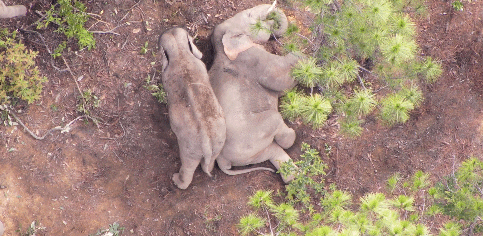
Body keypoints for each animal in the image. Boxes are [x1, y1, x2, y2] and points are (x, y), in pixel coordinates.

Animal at [159, 27, 227, 190]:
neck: (181, 53)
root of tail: (207, 146)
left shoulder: (166, 75)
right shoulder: (200, 63)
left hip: (190, 149)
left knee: (188, 166)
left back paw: (176, 181)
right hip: (219, 142)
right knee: (211, 161)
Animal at [209, 3, 300, 183]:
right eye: (250, 15)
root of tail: (221, 160)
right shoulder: (251, 58)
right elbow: (280, 77)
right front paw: (305, 58)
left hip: (248, 154)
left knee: (271, 151)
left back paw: (294, 177)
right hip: (253, 137)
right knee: (276, 125)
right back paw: (292, 136)